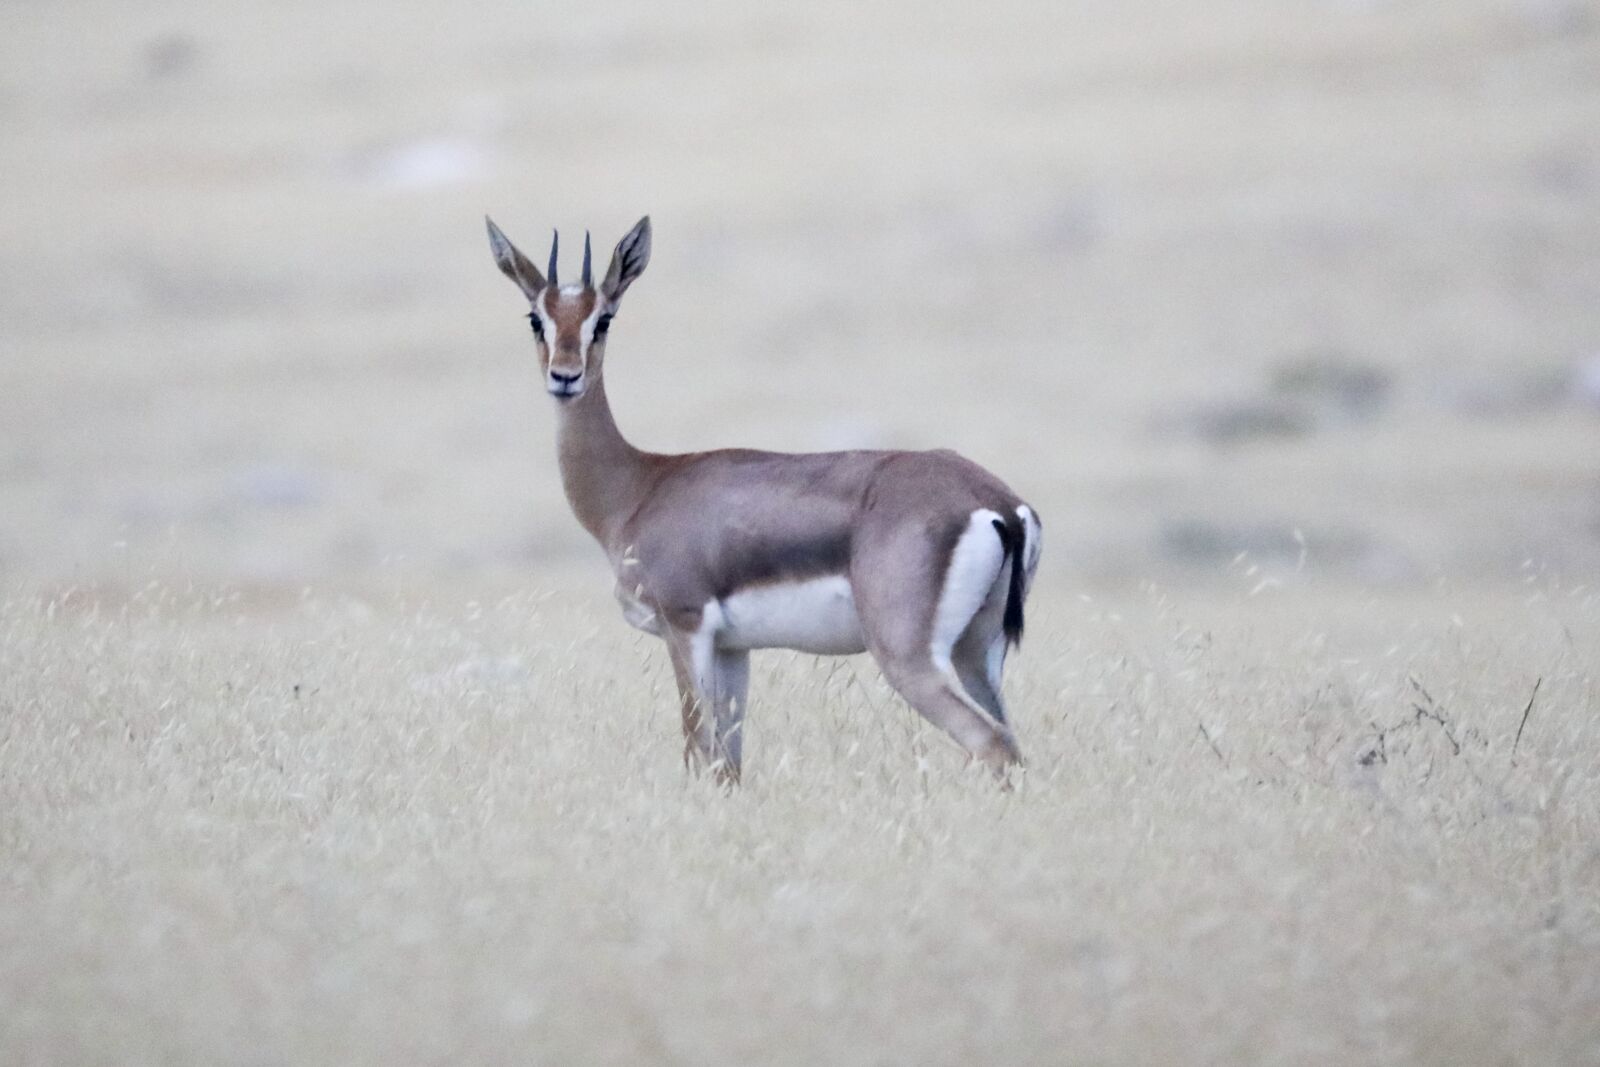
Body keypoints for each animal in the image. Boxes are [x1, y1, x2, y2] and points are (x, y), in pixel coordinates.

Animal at [485, 215, 1041, 784]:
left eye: (603, 320)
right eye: (536, 318)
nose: (565, 376)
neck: (640, 486)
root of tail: (997, 502)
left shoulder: (684, 627)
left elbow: (696, 749)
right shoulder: (734, 649)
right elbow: (727, 765)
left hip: (910, 658)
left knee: (992, 742)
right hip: (978, 654)